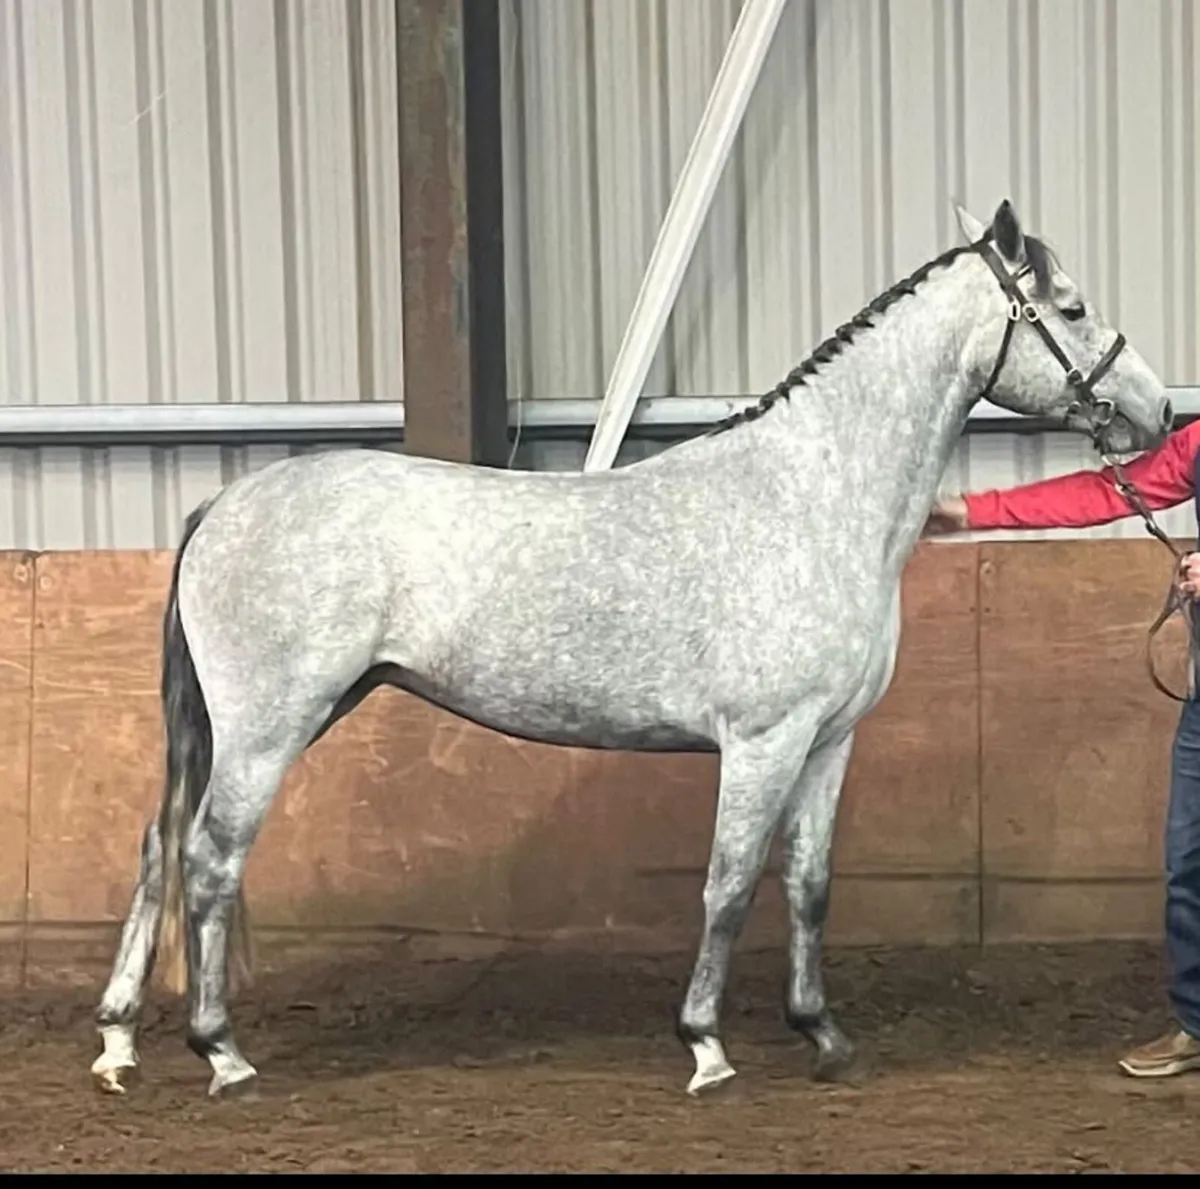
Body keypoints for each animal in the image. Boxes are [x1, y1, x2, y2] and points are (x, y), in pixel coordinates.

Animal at [89, 198, 1171, 1100]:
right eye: (1071, 308)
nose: (1159, 412)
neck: (811, 493)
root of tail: (227, 501)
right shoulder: (763, 742)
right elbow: (730, 883)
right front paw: (707, 1046)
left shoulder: (828, 741)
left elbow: (808, 885)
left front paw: (823, 1035)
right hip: (270, 727)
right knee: (210, 857)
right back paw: (222, 1053)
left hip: (259, 724)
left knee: (158, 847)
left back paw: (117, 1041)